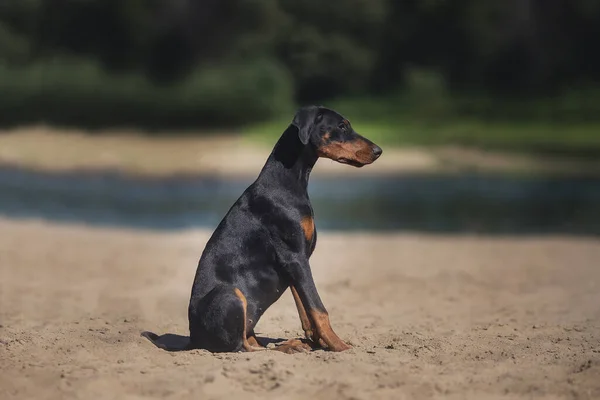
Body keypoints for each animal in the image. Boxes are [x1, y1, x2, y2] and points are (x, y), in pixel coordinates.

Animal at [144, 105, 382, 354]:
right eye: (342, 126)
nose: (379, 151)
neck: (287, 182)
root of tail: (193, 339)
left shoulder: (296, 262)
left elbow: (305, 309)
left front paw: (318, 342)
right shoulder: (294, 256)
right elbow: (318, 308)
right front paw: (339, 346)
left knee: (250, 341)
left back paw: (293, 343)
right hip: (230, 293)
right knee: (243, 347)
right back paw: (287, 347)